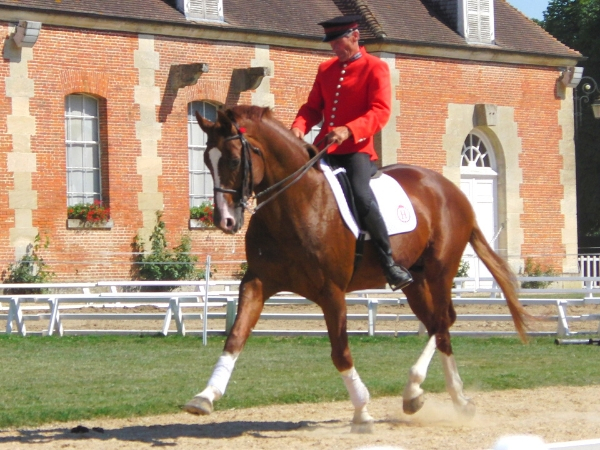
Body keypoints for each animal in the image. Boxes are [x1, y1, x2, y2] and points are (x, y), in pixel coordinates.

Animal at [184, 103, 528, 424]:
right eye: (206, 161)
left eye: (233, 159)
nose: (225, 221)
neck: (294, 203)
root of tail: (451, 190)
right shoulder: (257, 282)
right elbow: (235, 337)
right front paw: (205, 396)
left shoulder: (331, 292)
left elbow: (340, 352)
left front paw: (362, 410)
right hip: (415, 282)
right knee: (438, 323)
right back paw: (427, 395)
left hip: (440, 271)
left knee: (442, 324)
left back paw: (438, 393)